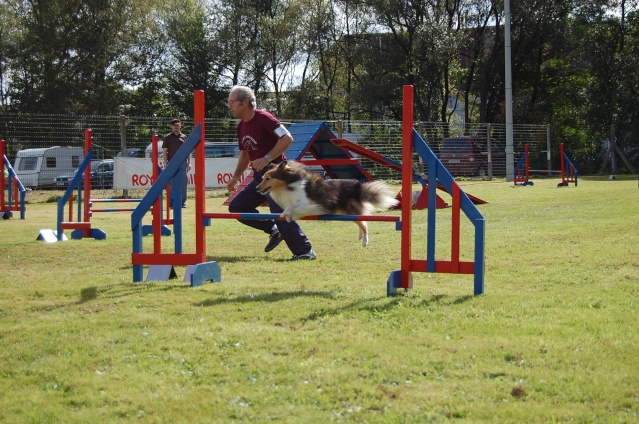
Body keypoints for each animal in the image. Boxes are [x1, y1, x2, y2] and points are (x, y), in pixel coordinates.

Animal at [256, 161, 400, 247]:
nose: (257, 188)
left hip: (351, 210)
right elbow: (289, 208)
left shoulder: (311, 204)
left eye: (268, 178)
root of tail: (358, 186)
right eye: (262, 178)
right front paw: (287, 216)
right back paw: (360, 237)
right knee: (362, 222)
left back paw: (365, 242)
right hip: (350, 213)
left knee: (365, 225)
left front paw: (287, 213)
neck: (288, 184)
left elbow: (293, 206)